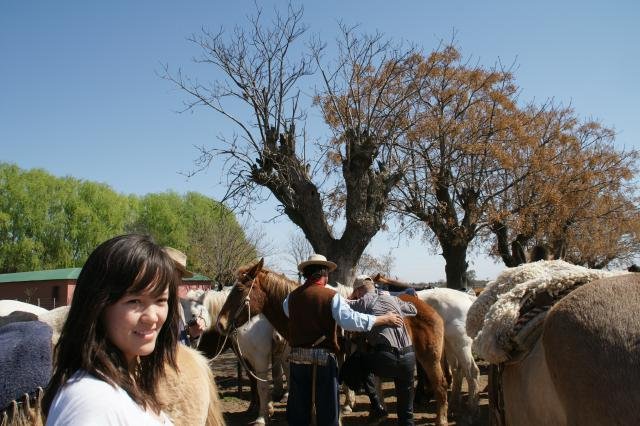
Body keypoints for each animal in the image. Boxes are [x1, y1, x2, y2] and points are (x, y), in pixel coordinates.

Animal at [215, 260, 450, 426]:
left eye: (239, 290)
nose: (221, 323)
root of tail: (427, 308)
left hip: (429, 358)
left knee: (440, 385)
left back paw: (441, 419)